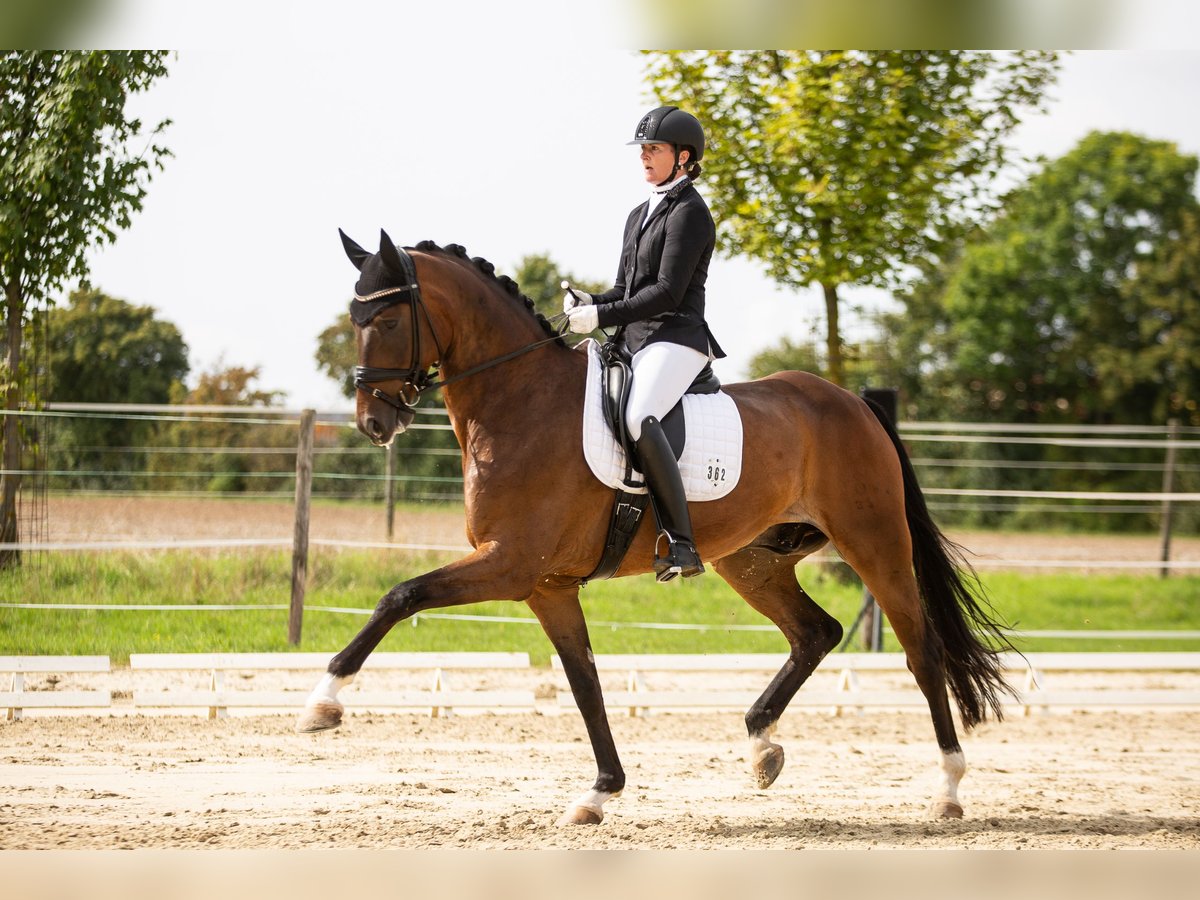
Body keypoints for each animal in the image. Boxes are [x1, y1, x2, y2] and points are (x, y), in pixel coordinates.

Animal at [297, 230, 1012, 825]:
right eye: (356, 319)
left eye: (387, 319)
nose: (373, 422)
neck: (519, 402)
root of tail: (853, 402)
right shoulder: (548, 586)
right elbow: (584, 681)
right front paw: (599, 793)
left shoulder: (511, 564)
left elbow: (401, 595)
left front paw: (322, 704)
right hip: (751, 560)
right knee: (817, 632)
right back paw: (761, 746)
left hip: (874, 542)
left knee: (921, 650)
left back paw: (948, 790)